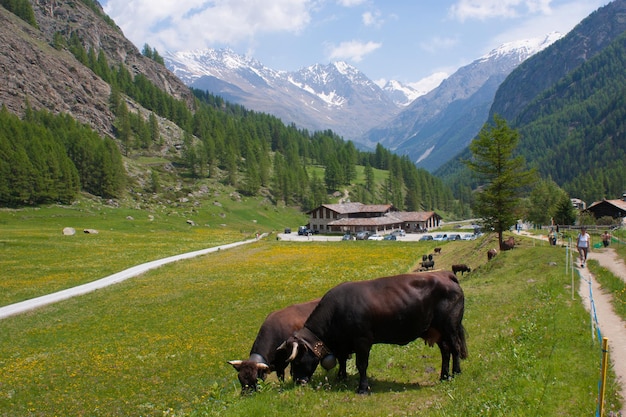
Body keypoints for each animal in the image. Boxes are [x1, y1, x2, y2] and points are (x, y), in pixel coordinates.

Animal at [276, 272, 466, 392]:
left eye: (297, 360)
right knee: (445, 351)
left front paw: (362, 388)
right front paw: (341, 377)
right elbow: (342, 360)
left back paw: (456, 373)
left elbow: (361, 364)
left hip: (450, 327)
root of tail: (445, 275)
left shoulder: (362, 340)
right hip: (437, 330)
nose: (298, 381)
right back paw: (444, 376)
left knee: (455, 348)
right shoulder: (344, 344)